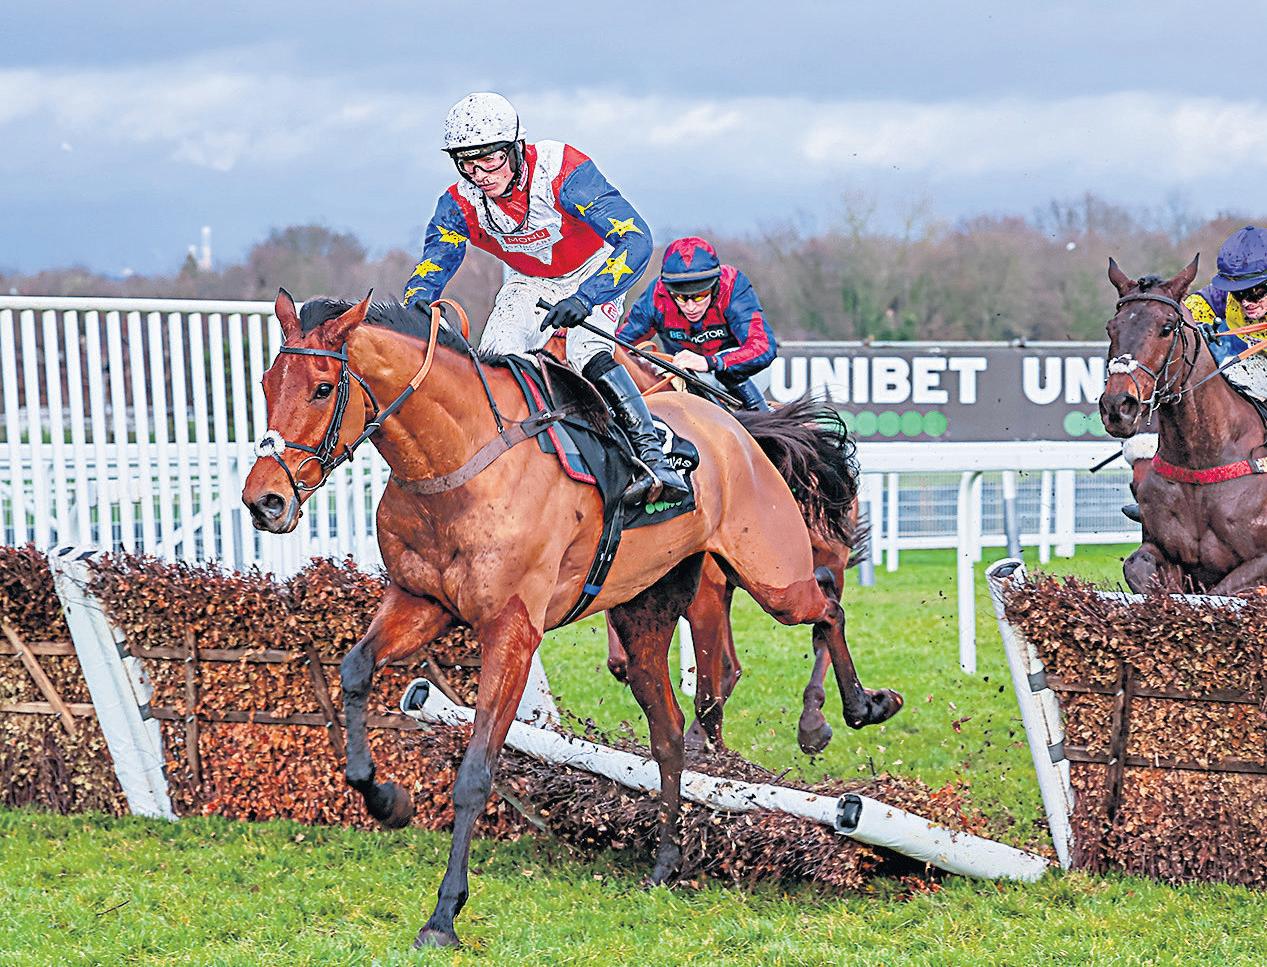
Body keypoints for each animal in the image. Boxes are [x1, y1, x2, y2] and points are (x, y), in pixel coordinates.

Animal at [241, 292, 902, 949]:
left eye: (323, 388)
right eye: (267, 383)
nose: (264, 501)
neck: (458, 463)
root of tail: (734, 426)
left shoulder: (512, 630)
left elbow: (476, 770)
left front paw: (444, 916)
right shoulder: (420, 602)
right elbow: (355, 670)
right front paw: (387, 801)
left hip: (773, 575)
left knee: (827, 603)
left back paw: (853, 709)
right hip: (644, 615)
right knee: (669, 732)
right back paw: (665, 862)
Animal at [1100, 256, 1267, 593]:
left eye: (1166, 328)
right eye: (1112, 328)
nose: (1117, 406)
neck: (1199, 461)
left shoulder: (1260, 562)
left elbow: (1221, 592)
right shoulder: (1160, 549)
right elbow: (1138, 569)